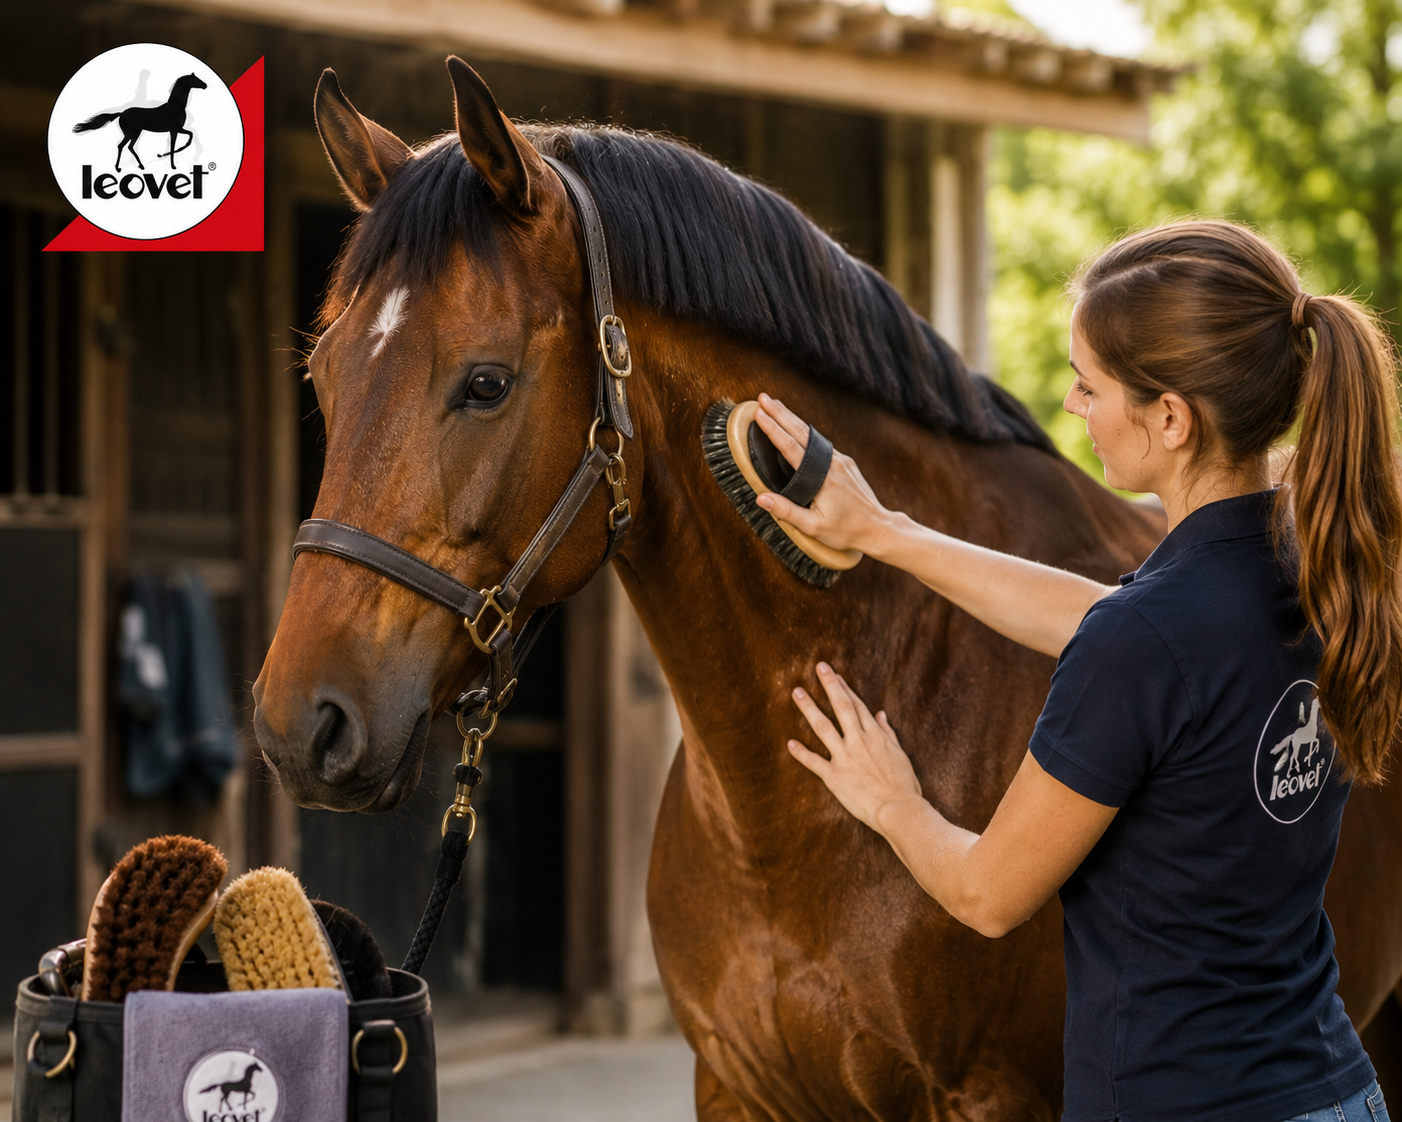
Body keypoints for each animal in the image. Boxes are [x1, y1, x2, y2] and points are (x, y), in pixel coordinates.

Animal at [72, 73, 206, 172]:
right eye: (196, 79)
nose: (205, 85)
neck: (176, 106)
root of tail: (121, 113)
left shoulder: (174, 130)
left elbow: (180, 141)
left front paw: (164, 158)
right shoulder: (176, 129)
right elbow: (187, 138)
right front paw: (172, 164)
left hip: (133, 133)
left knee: (125, 146)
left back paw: (129, 166)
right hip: (133, 133)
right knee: (125, 146)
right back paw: (132, 166)